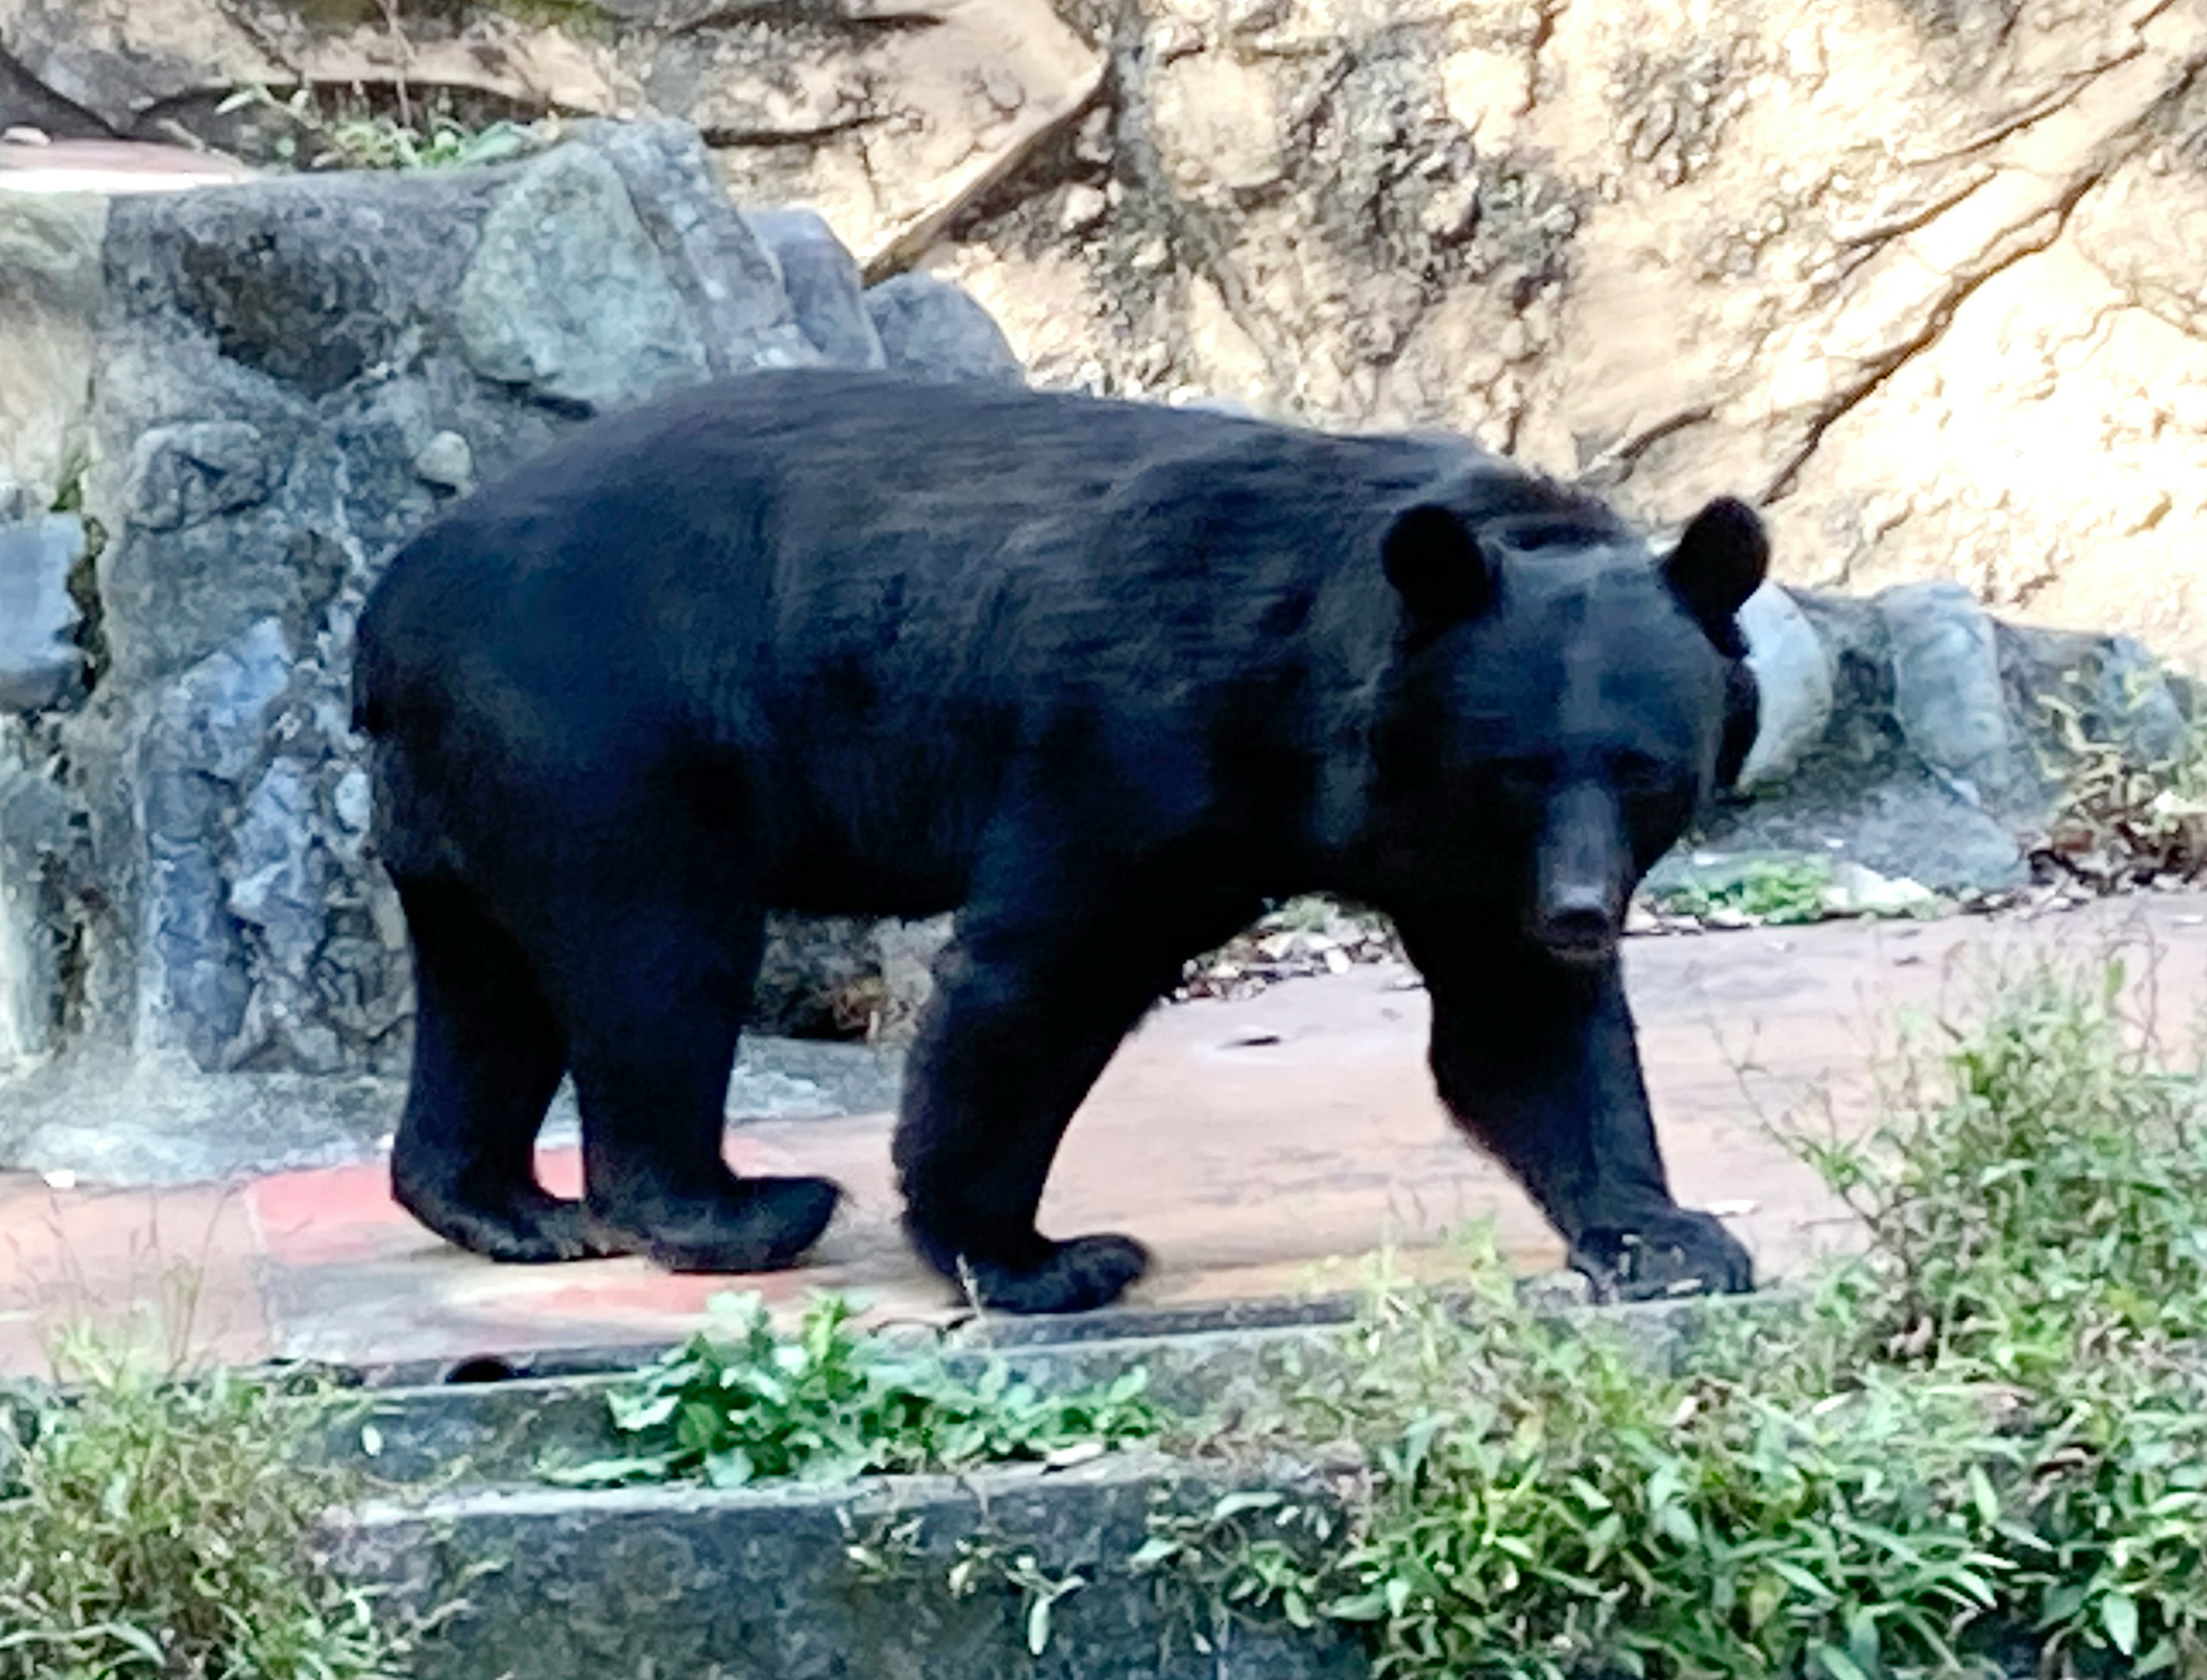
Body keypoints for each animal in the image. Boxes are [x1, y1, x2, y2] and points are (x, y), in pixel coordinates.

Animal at [366, 371, 1774, 1306]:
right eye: (1514, 769)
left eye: (1648, 773)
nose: (1582, 913)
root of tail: (395, 602)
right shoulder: (1144, 734)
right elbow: (1047, 969)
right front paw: (1036, 1255)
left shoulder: (1453, 853)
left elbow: (1514, 1027)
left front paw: (1667, 1233)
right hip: (607, 738)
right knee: (657, 962)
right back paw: (734, 1208)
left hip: (470, 786)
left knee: (488, 979)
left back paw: (507, 1206)